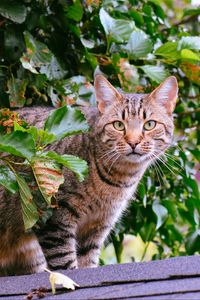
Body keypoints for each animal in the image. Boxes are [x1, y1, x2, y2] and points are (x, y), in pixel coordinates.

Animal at [0, 75, 178, 276]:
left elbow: (88, 263)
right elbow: (66, 264)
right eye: (118, 125)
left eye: (149, 124)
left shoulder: (98, 226)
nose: (133, 142)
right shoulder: (53, 217)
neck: (117, 180)